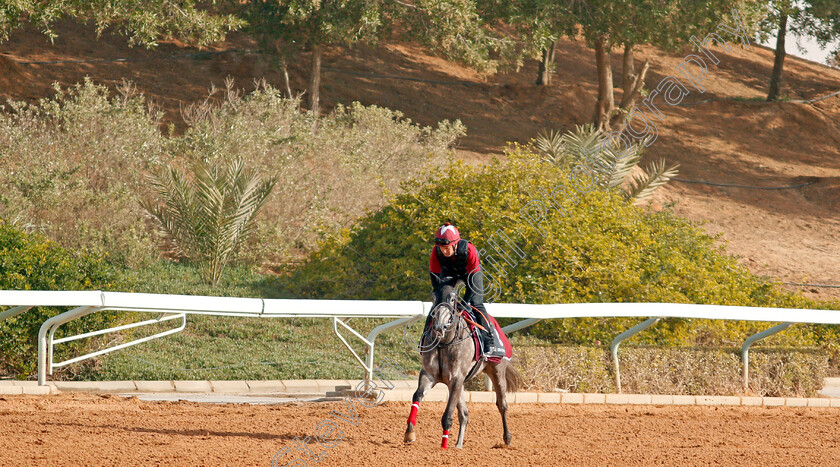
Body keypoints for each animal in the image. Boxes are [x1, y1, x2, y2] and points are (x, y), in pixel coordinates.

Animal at [404, 286, 520, 450]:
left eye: (452, 299)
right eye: (433, 298)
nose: (439, 326)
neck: (444, 343)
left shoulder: (456, 378)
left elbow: (447, 414)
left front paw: (443, 446)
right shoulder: (429, 375)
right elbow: (417, 396)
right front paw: (409, 433)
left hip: (497, 371)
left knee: (502, 405)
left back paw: (507, 437)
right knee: (464, 413)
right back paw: (459, 444)